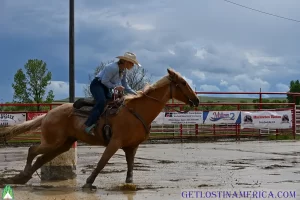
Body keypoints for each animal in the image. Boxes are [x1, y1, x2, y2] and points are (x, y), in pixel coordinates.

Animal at [0, 68, 202, 189]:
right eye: (183, 83)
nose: (196, 100)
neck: (137, 111)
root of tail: (49, 113)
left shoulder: (132, 146)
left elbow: (130, 166)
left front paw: (129, 184)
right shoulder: (114, 142)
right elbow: (102, 162)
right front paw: (89, 183)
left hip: (63, 144)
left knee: (41, 158)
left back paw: (21, 178)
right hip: (53, 141)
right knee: (32, 150)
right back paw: (21, 176)